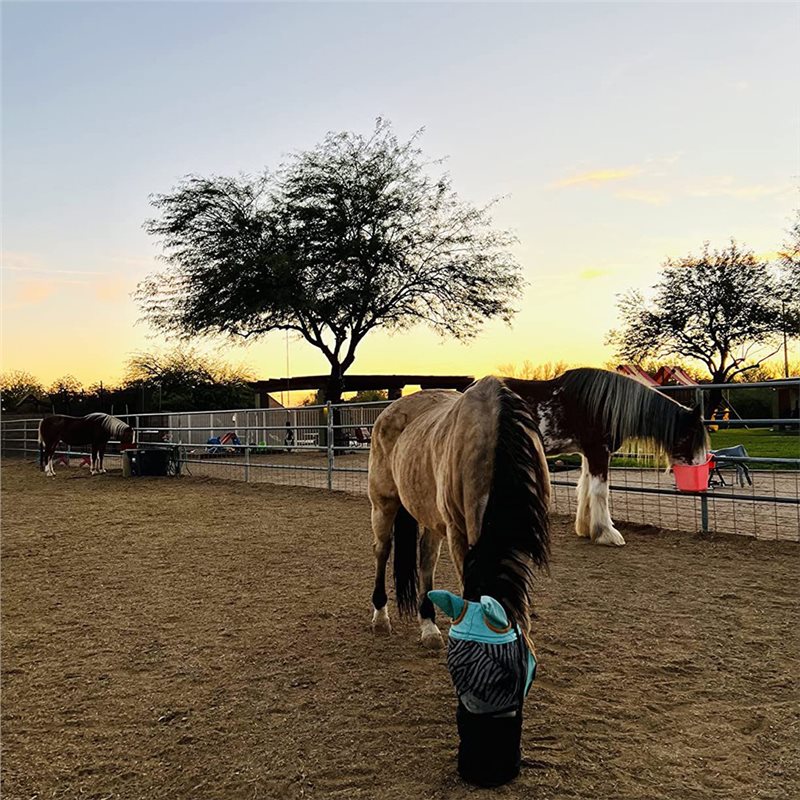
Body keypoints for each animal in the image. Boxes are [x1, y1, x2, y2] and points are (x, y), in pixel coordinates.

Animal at [367, 376, 550, 651]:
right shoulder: (458, 532)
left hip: (429, 515)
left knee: (427, 559)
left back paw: (429, 626)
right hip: (383, 504)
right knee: (383, 549)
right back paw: (380, 617)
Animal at [504, 368, 709, 547]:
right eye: (692, 435)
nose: (700, 468)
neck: (602, 404)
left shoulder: (587, 453)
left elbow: (586, 489)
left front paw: (586, 528)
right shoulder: (599, 451)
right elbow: (600, 491)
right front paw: (606, 534)